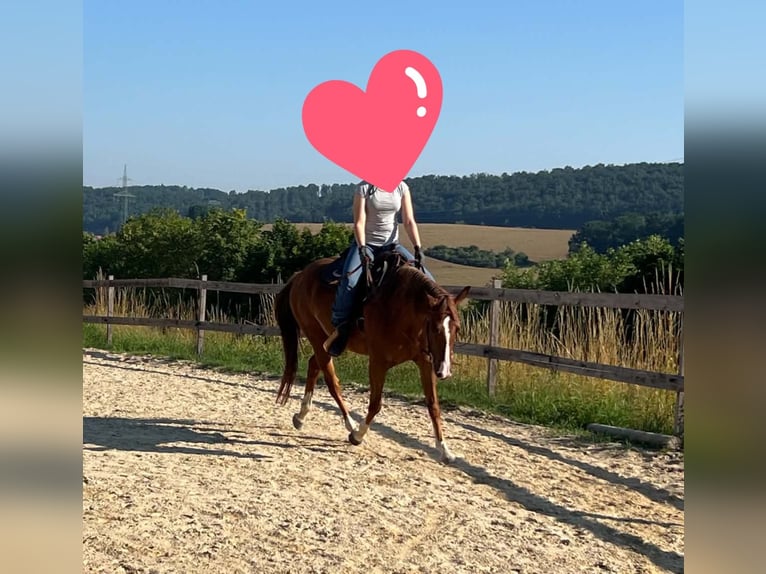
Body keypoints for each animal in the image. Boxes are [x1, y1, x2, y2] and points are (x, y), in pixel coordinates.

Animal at [273, 252, 470, 463]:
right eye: (434, 328)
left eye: (457, 328)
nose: (444, 371)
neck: (401, 309)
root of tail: (300, 276)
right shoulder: (378, 362)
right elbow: (375, 404)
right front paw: (358, 435)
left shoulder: (426, 362)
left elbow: (433, 405)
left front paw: (445, 450)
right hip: (316, 335)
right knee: (332, 382)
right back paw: (350, 424)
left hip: (326, 342)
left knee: (313, 365)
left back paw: (301, 416)